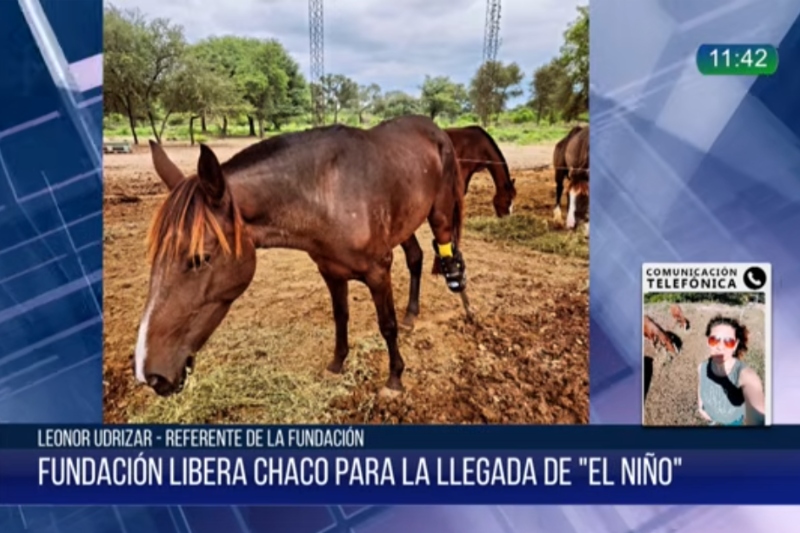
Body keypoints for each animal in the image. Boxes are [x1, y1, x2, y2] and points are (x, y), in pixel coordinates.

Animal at [133, 115, 468, 398]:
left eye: (200, 258)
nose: (150, 374)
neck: (329, 194)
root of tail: (436, 129)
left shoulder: (378, 272)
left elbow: (387, 324)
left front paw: (395, 378)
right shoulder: (331, 271)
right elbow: (340, 316)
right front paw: (337, 363)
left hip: (439, 215)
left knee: (445, 253)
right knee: (415, 257)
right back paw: (412, 312)